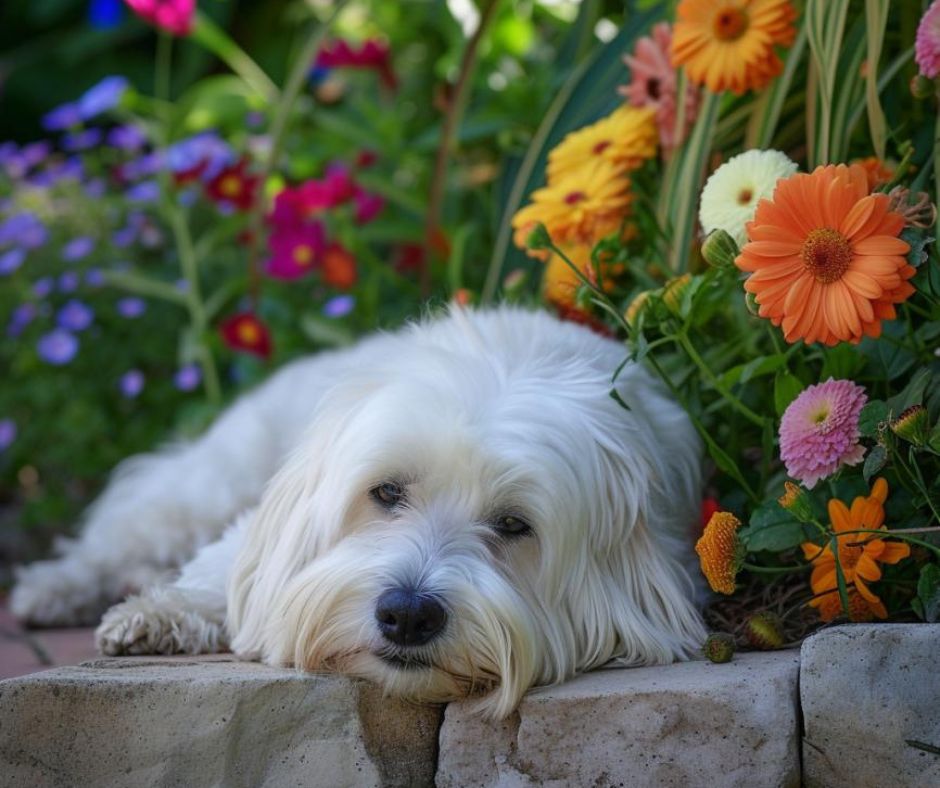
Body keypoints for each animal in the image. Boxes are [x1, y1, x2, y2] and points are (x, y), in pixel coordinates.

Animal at [12, 304, 704, 716]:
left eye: (514, 525)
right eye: (387, 492)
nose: (408, 615)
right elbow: (228, 571)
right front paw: (158, 613)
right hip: (211, 479)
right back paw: (55, 590)